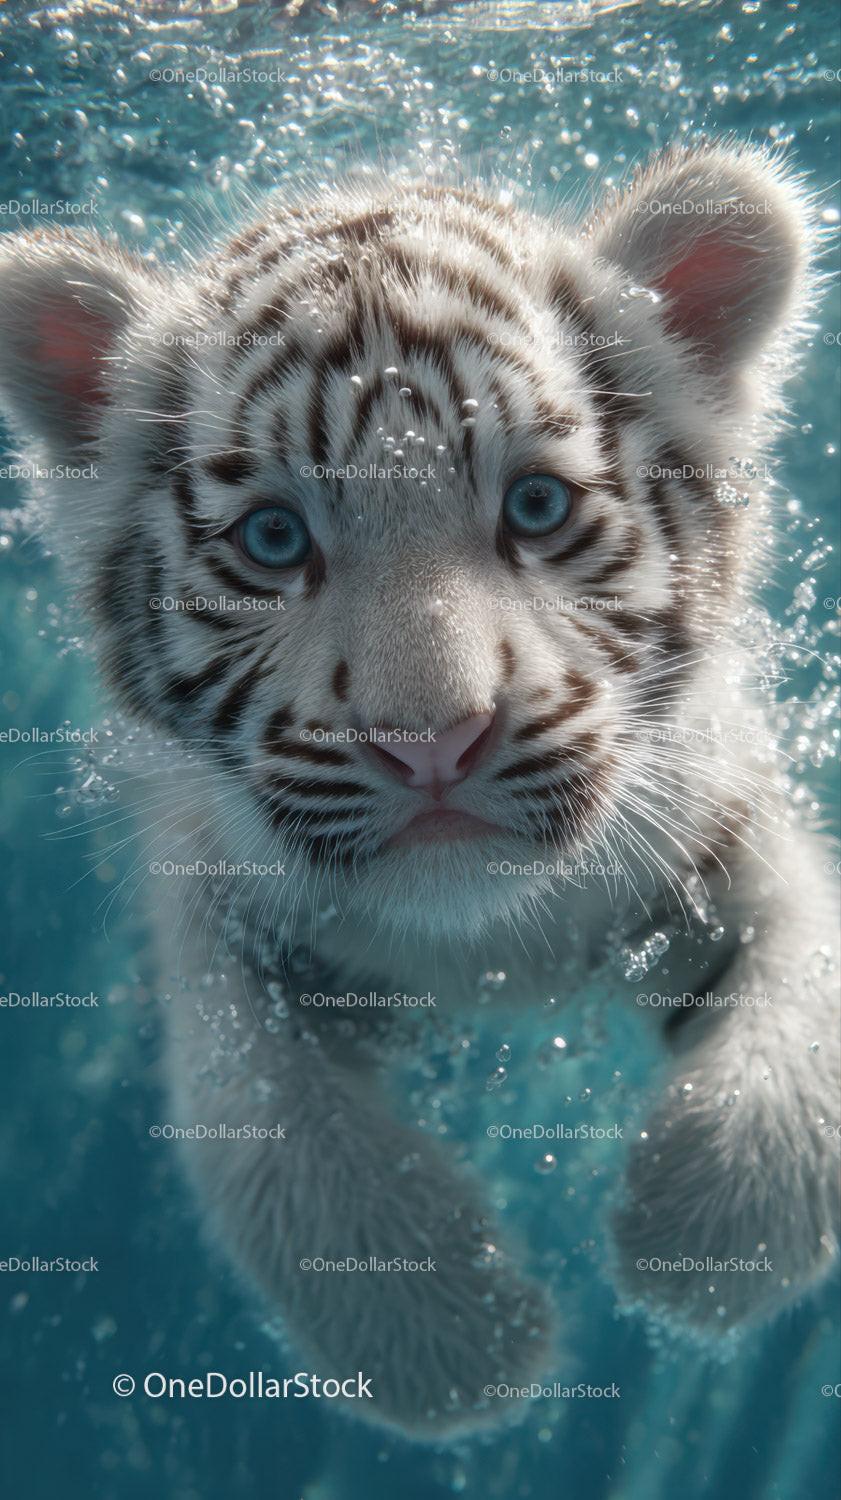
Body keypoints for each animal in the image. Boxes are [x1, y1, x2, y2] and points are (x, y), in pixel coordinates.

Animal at [0, 140, 838, 1441]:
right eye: (274, 539)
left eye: (537, 506)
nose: (434, 741)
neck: (489, 942)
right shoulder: (213, 895)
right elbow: (264, 1120)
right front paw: (456, 1349)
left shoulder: (721, 813)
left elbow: (809, 995)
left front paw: (702, 1239)